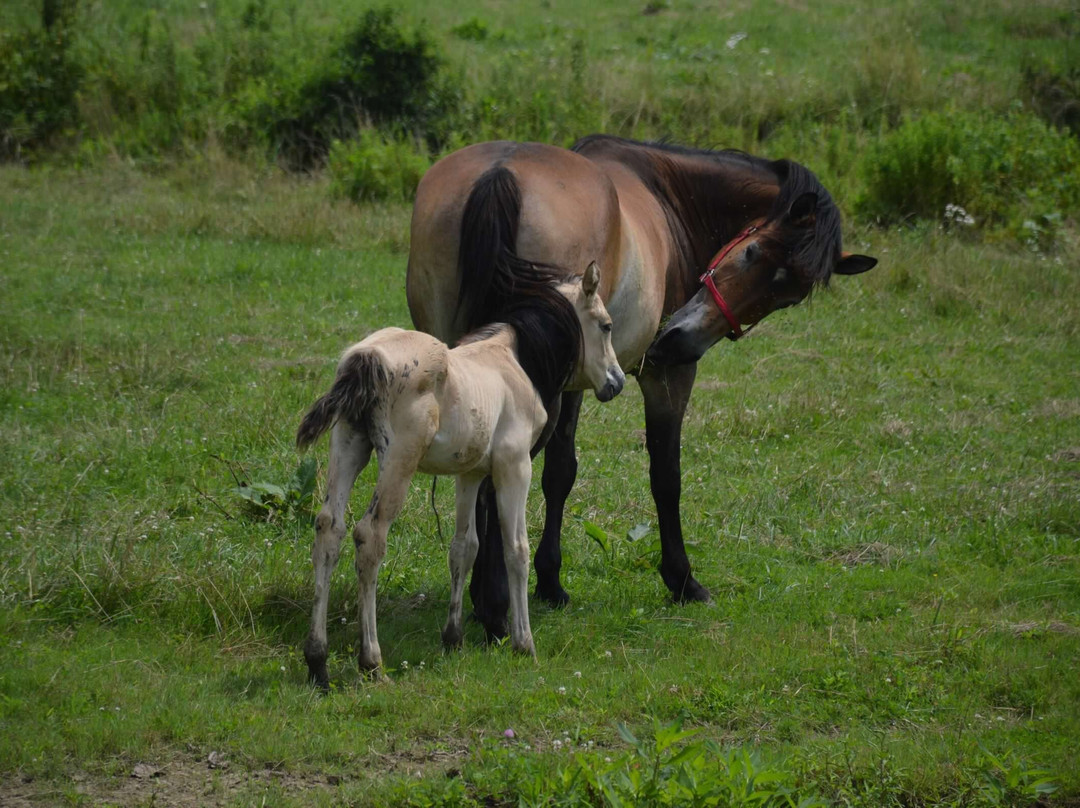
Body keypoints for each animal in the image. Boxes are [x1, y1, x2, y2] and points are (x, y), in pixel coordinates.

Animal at [406, 133, 876, 639]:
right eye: (751, 252)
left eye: (787, 297)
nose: (679, 341)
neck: (671, 199)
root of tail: (501, 173)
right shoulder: (664, 379)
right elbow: (665, 477)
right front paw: (683, 579)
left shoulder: (575, 384)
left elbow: (560, 474)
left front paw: (550, 582)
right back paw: (494, 607)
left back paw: (481, 599)